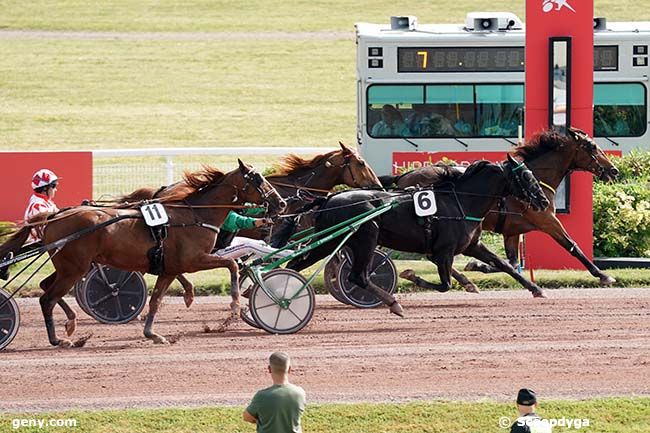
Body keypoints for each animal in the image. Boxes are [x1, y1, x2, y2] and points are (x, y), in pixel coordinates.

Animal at [0, 160, 284, 346]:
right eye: (258, 179)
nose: (280, 203)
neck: (195, 215)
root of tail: (53, 216)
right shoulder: (194, 260)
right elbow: (232, 265)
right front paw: (235, 305)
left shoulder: (170, 269)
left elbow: (156, 300)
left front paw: (153, 334)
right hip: (74, 268)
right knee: (46, 298)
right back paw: (58, 338)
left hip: (69, 267)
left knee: (46, 287)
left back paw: (70, 322)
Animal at [382, 126, 620, 292]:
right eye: (592, 147)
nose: (614, 170)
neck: (534, 179)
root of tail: (403, 177)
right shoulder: (546, 220)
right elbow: (572, 245)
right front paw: (603, 275)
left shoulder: (512, 231)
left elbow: (511, 262)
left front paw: (478, 266)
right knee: (434, 255)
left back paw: (467, 282)